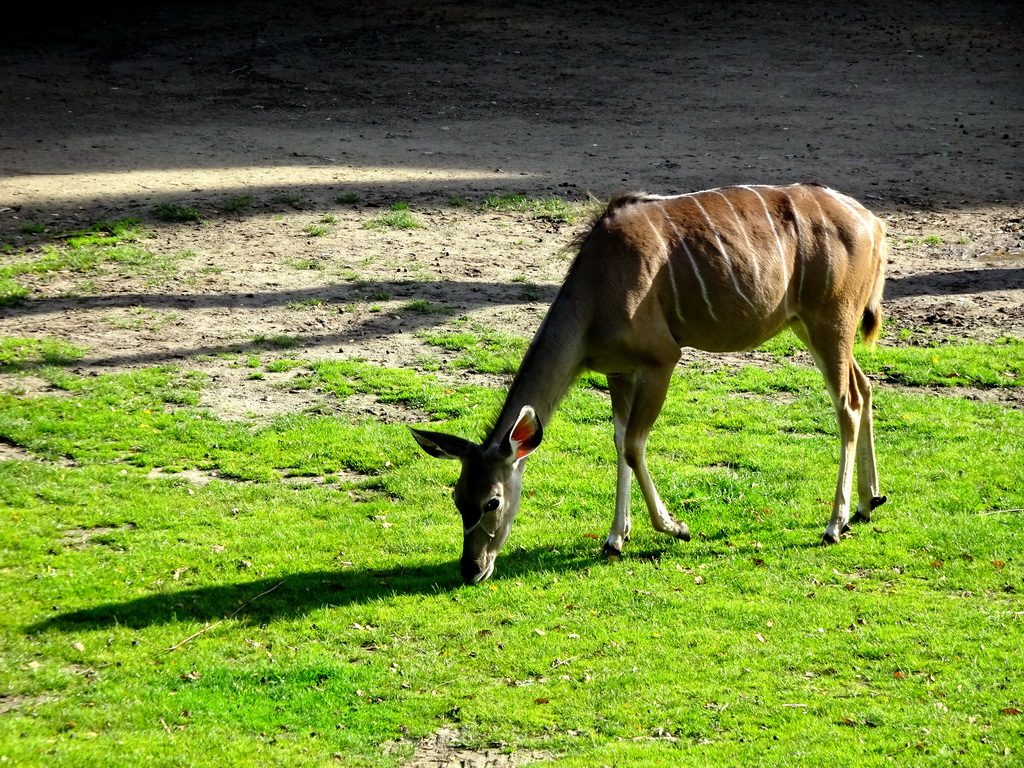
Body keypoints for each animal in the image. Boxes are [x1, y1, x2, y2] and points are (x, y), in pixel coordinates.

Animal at [409, 183, 888, 585]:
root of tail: (873, 222)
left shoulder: (662, 360)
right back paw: (869, 503)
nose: (471, 569)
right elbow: (619, 439)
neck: (596, 292)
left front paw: (674, 527)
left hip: (830, 322)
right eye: (457, 497)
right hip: (810, 326)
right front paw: (614, 538)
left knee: (846, 404)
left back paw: (835, 524)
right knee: (864, 388)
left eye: (491, 501)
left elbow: (635, 444)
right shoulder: (618, 371)